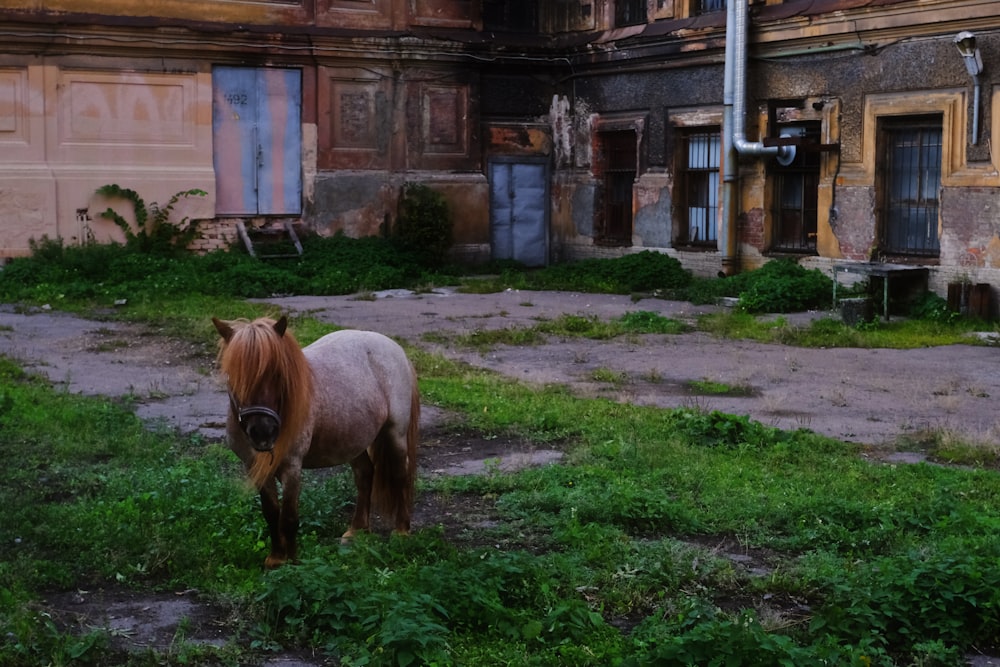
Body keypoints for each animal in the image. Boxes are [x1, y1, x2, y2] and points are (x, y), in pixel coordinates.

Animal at [211, 316, 418, 568]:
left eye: (278, 374)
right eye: (234, 376)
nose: (263, 432)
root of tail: (394, 347)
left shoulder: (292, 467)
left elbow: (289, 517)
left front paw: (293, 562)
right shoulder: (255, 467)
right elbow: (271, 512)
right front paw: (276, 558)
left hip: (395, 433)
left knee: (400, 474)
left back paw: (402, 531)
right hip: (353, 440)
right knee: (365, 474)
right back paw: (357, 530)